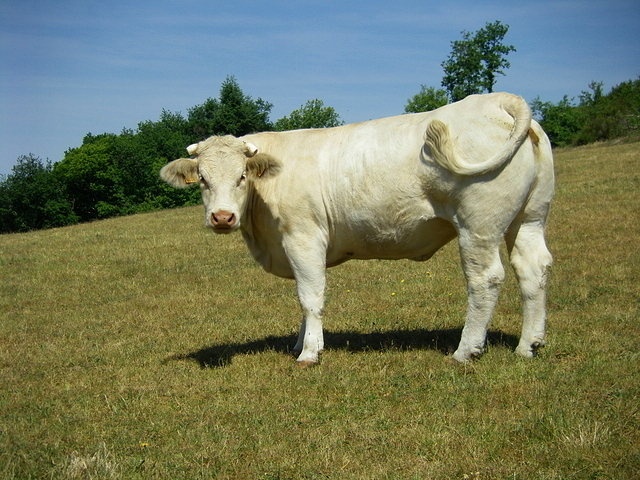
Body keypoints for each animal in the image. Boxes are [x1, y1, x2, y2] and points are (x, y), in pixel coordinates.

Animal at [160, 92, 554, 366]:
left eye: (242, 176)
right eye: (202, 179)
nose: (222, 217)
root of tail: (496, 99)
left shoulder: (303, 238)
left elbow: (310, 296)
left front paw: (309, 352)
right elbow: (304, 298)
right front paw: (300, 341)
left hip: (478, 224)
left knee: (485, 278)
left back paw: (466, 350)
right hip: (529, 218)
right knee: (532, 269)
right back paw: (528, 345)